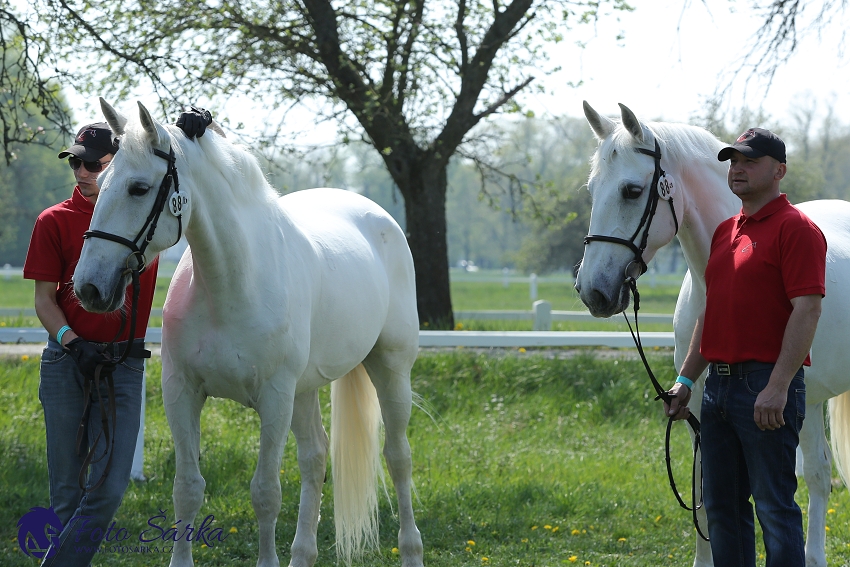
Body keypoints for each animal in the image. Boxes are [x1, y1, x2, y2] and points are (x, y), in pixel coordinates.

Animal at [71, 98, 422, 567]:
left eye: (139, 188)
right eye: (102, 181)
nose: (89, 288)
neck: (231, 286)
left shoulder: (274, 400)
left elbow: (265, 494)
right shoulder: (182, 392)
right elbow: (187, 489)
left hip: (389, 368)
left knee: (398, 457)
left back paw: (411, 549)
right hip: (305, 390)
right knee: (315, 458)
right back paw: (303, 554)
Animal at [576, 101, 848, 567]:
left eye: (631, 190)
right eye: (594, 189)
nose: (591, 290)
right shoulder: (700, 412)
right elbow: (706, 495)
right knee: (817, 472)